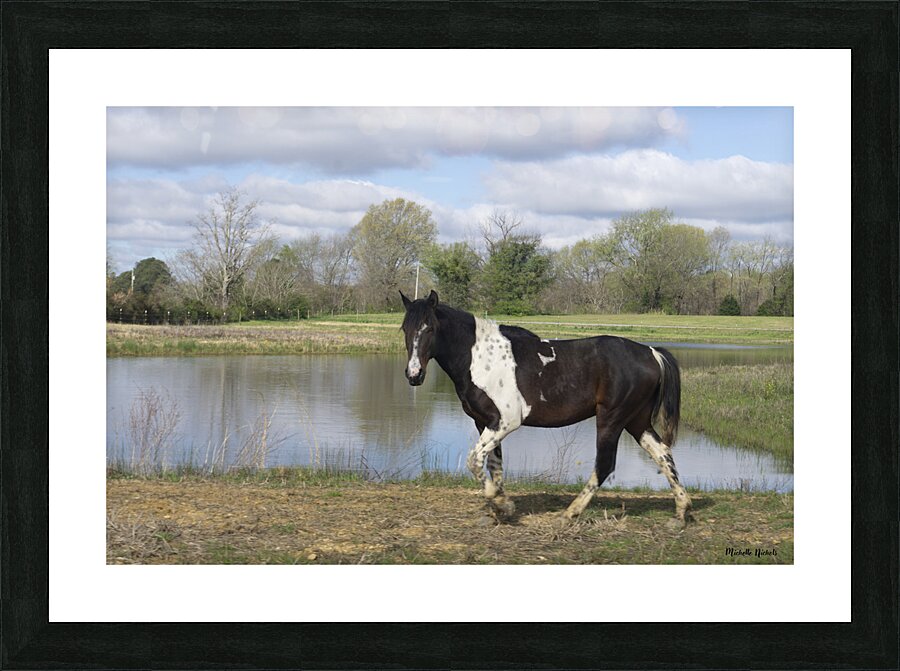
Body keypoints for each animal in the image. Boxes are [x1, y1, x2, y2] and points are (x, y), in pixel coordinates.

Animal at [400, 290, 693, 526]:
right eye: (404, 329)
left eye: (429, 328)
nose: (414, 375)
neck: (481, 358)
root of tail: (651, 353)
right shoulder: (484, 423)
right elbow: (494, 466)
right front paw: (498, 509)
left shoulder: (505, 422)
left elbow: (474, 461)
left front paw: (501, 503)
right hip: (636, 421)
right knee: (663, 454)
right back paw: (681, 512)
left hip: (611, 419)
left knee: (605, 464)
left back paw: (570, 513)